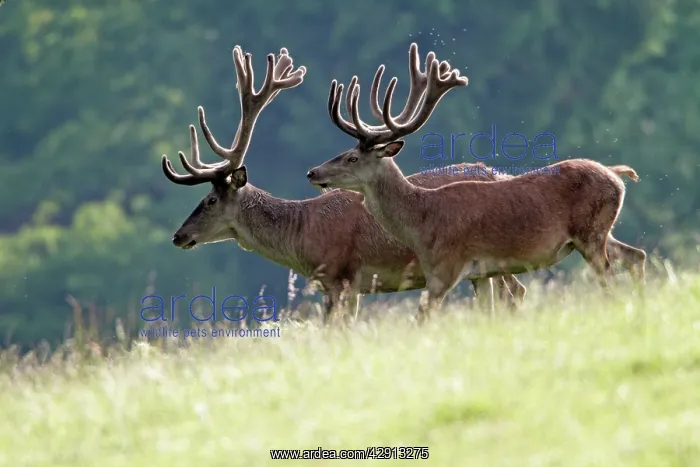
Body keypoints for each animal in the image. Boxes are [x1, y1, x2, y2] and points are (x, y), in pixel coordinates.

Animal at [161, 45, 531, 323]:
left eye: (210, 200)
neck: (302, 233)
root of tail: (500, 174)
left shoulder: (342, 279)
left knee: (515, 291)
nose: (179, 236)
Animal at [306, 42, 647, 320]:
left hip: (590, 233)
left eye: (352, 158)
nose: (312, 173)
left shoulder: (446, 268)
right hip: (598, 233)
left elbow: (422, 318)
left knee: (609, 279)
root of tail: (616, 175)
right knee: (636, 256)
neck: (421, 222)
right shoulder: (480, 273)